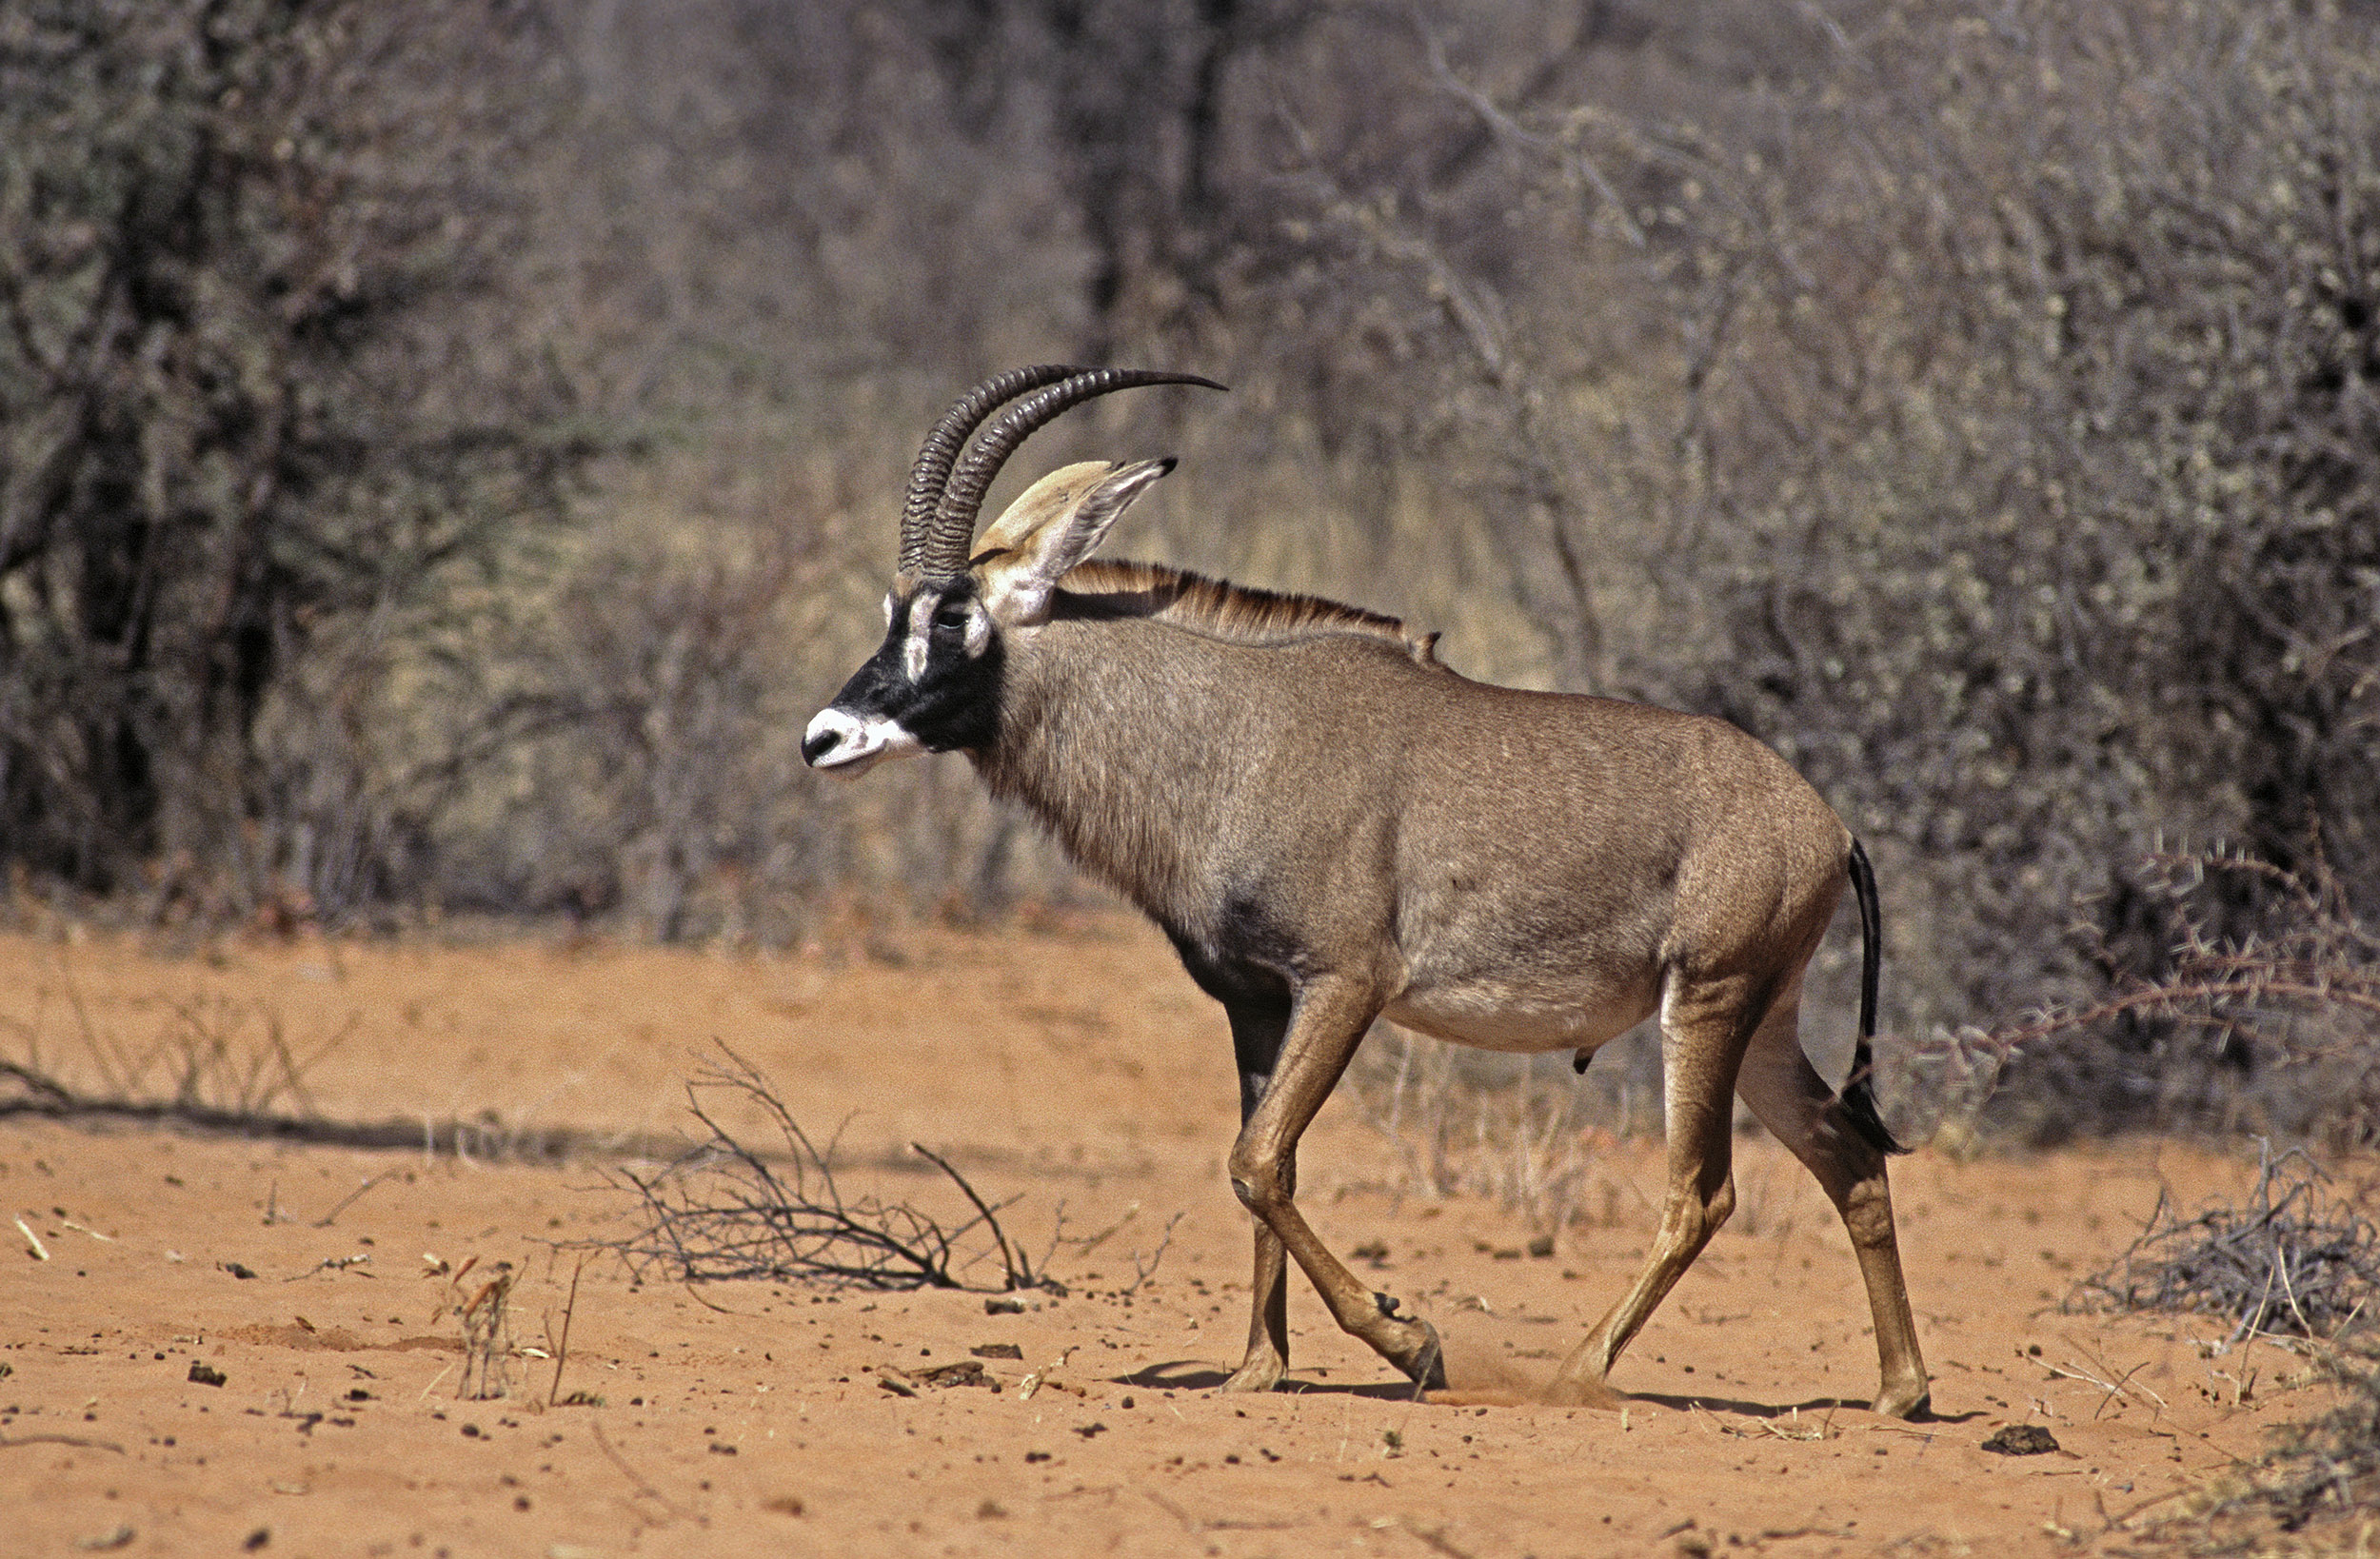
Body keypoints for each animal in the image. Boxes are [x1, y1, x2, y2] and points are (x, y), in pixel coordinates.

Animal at [809, 366, 1923, 1418]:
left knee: (1703, 1193)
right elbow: (1266, 1164)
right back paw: (1900, 1390)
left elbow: (1256, 1161)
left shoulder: (1345, 984)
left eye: (954, 613)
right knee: (1846, 1158)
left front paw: (1408, 1338)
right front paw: (1257, 1370)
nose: (827, 737)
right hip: (1761, 1022)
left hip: (1707, 1002)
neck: (1232, 734)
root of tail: (1827, 826)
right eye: (891, 611)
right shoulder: (1257, 1003)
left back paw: (1574, 1372)